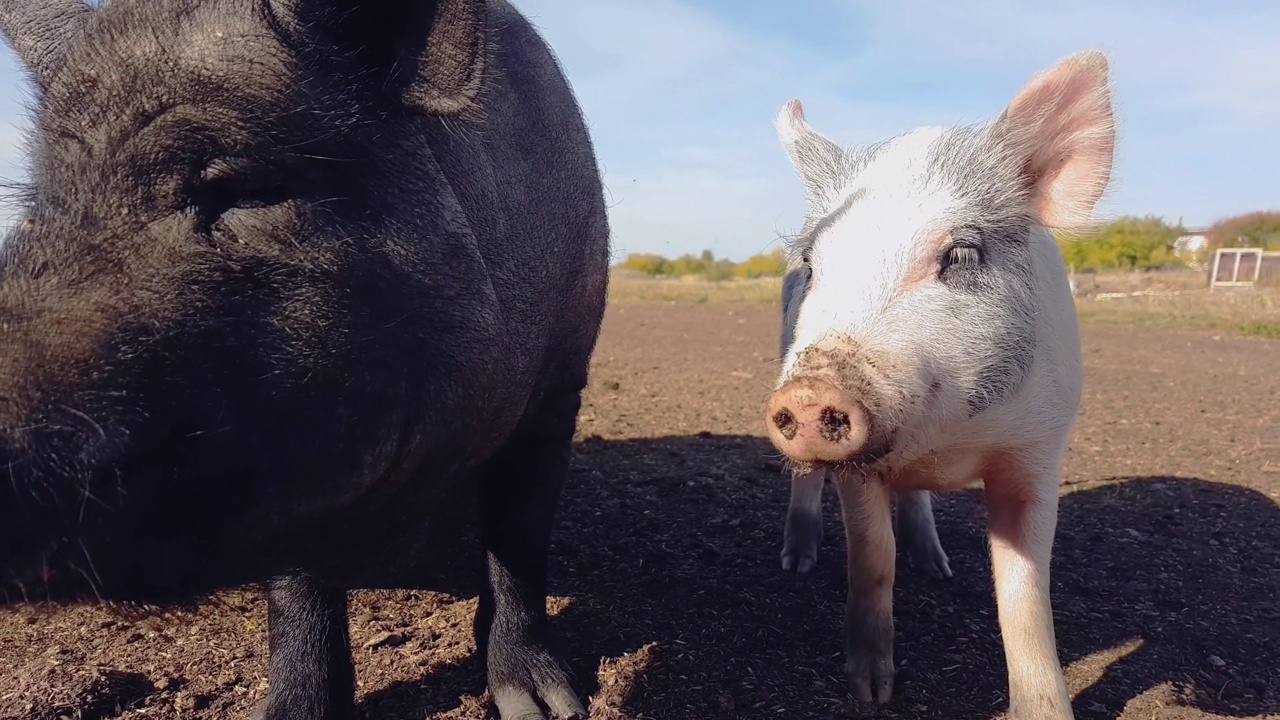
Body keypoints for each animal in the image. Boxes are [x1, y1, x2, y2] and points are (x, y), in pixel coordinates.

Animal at [762, 51, 1116, 717]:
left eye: (962, 255)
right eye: (815, 266)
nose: (810, 391)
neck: (951, 435)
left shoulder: (1040, 449)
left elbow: (1025, 595)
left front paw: (1046, 709)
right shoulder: (860, 471)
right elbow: (873, 559)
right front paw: (871, 693)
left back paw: (937, 567)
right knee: (809, 483)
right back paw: (797, 562)